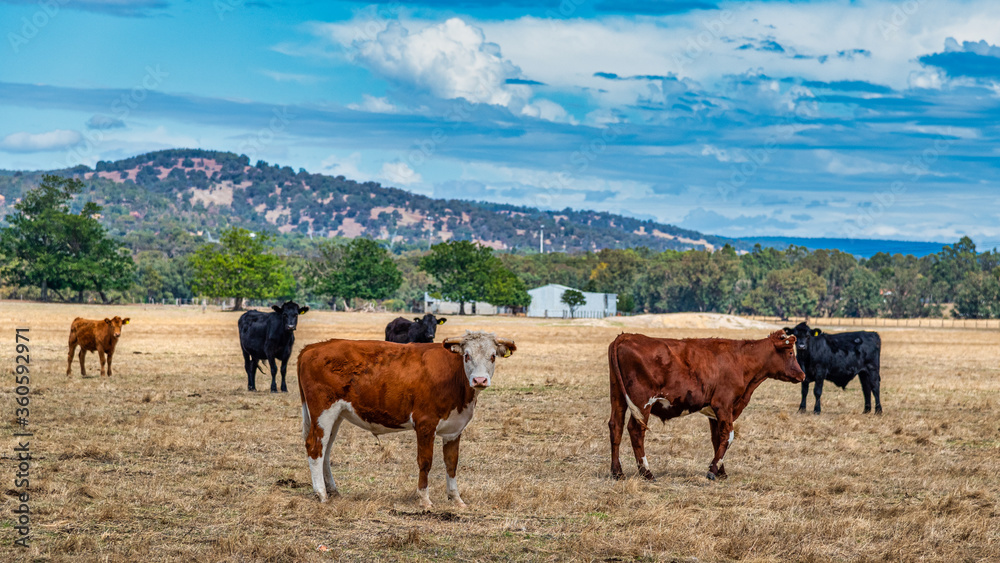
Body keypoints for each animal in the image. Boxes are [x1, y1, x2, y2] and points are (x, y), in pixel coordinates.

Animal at [297, 330, 516, 506]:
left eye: (493, 356)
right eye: (467, 355)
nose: (480, 380)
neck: (455, 377)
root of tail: (312, 348)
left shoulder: (454, 429)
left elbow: (451, 463)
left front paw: (456, 499)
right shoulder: (425, 423)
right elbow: (425, 462)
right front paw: (425, 499)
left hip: (336, 416)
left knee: (326, 450)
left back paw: (333, 490)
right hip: (323, 411)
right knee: (315, 447)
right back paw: (322, 494)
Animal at [608, 330, 804, 482]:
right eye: (791, 353)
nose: (802, 375)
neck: (741, 359)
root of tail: (626, 336)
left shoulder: (714, 412)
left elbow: (717, 438)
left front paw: (720, 471)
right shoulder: (724, 405)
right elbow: (728, 436)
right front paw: (713, 471)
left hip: (618, 397)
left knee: (616, 426)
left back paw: (617, 472)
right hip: (642, 403)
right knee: (635, 430)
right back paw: (646, 473)